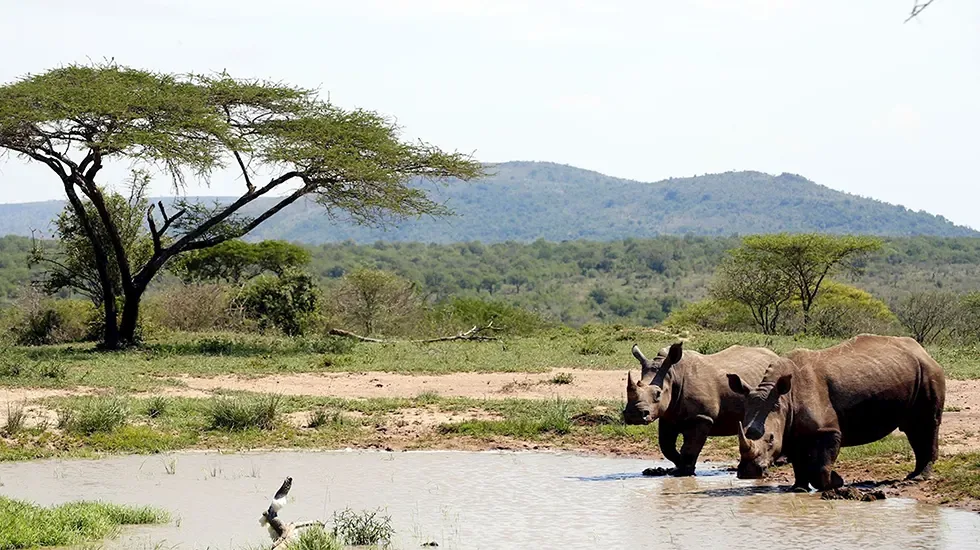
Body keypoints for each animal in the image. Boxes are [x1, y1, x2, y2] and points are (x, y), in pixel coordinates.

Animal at [623, 341, 779, 476]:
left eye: (658, 394)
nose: (634, 415)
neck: (673, 374)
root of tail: (776, 356)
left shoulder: (702, 417)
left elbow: (690, 448)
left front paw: (685, 472)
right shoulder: (668, 416)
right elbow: (666, 446)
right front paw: (676, 467)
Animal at [727, 334, 946, 491]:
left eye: (771, 439)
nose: (749, 473)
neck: (783, 399)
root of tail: (923, 351)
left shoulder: (828, 430)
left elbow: (822, 465)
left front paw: (836, 482)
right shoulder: (790, 428)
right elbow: (798, 461)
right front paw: (799, 489)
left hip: (929, 372)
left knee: (926, 424)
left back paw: (919, 478)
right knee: (913, 428)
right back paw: (912, 476)